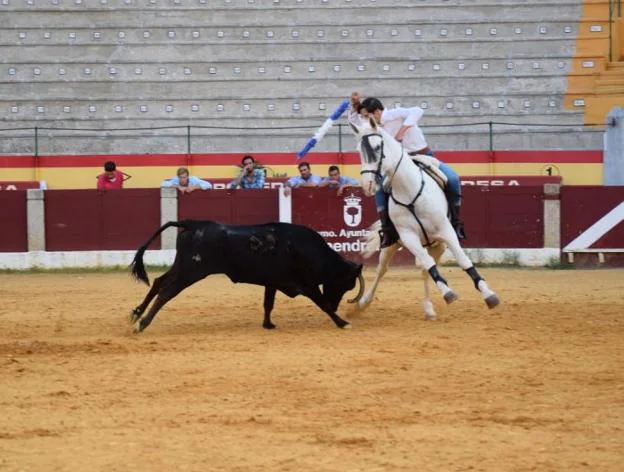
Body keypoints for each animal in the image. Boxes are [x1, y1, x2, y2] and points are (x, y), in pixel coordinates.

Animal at [130, 220, 366, 332]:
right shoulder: (306, 285)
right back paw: (143, 324)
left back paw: (136, 314)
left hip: (182, 266)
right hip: (190, 271)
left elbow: (268, 303)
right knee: (166, 292)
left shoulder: (273, 282)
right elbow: (321, 304)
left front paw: (268, 324)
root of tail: (194, 224)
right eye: (346, 283)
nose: (336, 304)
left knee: (158, 283)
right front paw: (343, 322)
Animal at [348, 116, 500, 318]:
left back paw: (428, 308)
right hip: (393, 244)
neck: (409, 191)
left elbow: (463, 260)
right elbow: (427, 263)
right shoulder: (408, 237)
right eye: (359, 151)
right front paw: (448, 292)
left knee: (424, 270)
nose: (368, 184)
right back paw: (363, 303)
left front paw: (488, 294)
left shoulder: (446, 232)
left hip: (438, 245)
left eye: (377, 147)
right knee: (383, 269)